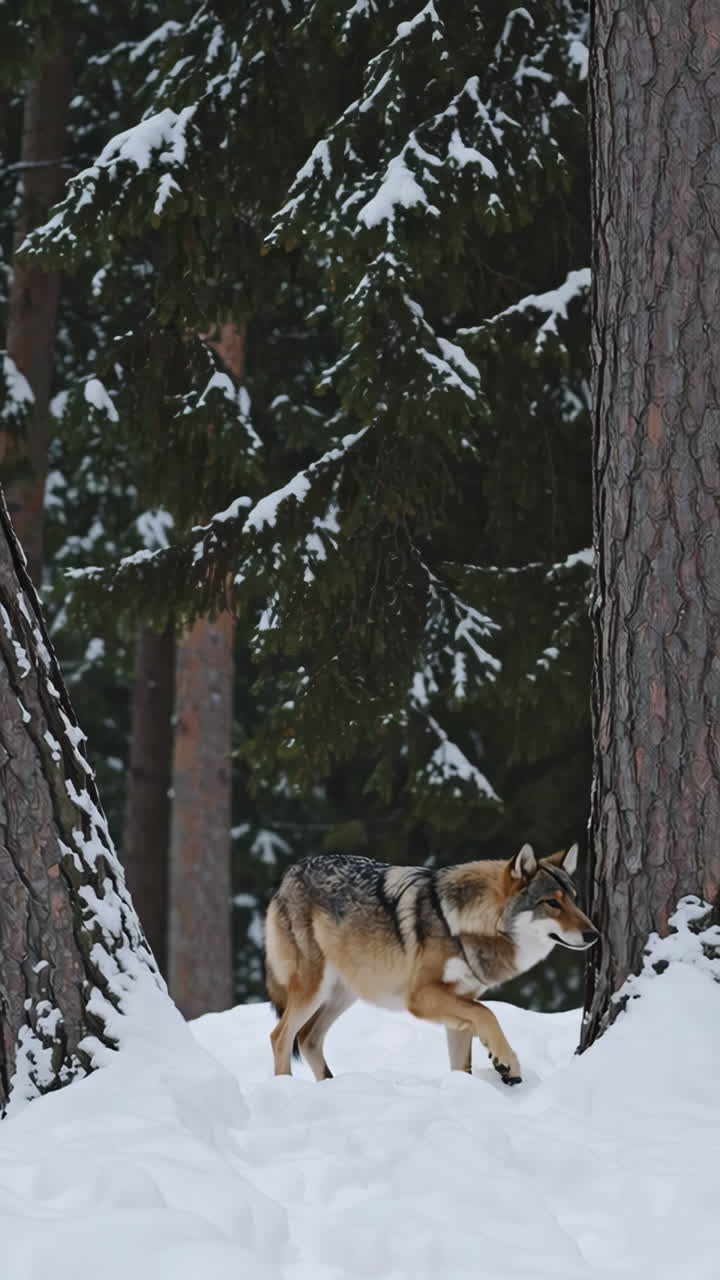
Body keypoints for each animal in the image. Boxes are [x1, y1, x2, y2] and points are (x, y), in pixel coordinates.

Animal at [265, 842, 598, 1084]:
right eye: (552, 903)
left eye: (574, 899)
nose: (594, 934)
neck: (465, 925)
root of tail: (290, 872)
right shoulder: (420, 997)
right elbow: (488, 1013)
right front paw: (507, 1062)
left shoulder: (462, 1000)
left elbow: (465, 1057)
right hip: (315, 989)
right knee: (280, 1036)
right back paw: (285, 1089)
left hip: (345, 992)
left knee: (307, 1039)